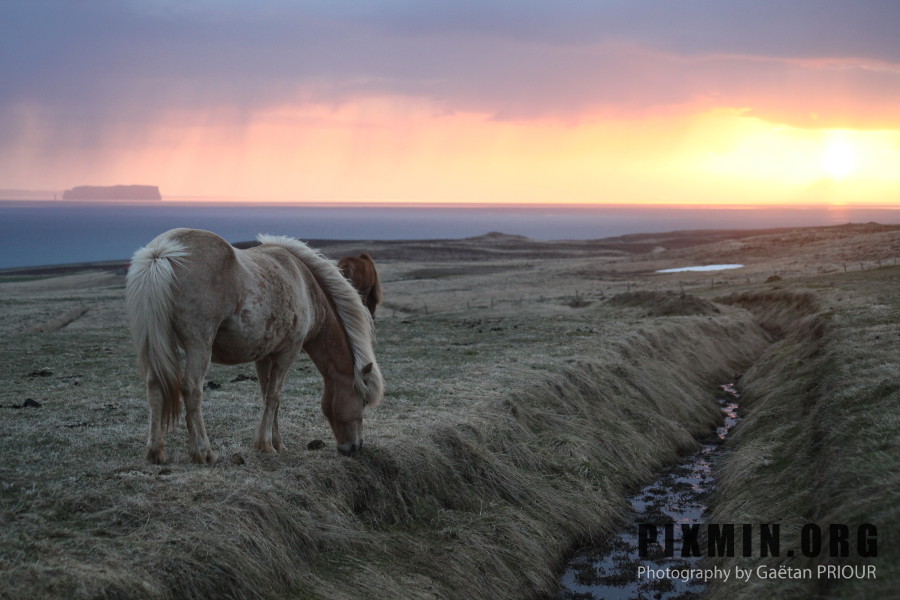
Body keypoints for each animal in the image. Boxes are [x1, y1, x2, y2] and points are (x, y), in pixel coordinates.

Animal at [124, 230, 384, 464]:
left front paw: (277, 442)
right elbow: (274, 395)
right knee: (192, 389)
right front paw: (266, 445)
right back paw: (204, 452)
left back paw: (156, 453)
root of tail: (161, 252)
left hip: (158, 344)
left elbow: (267, 394)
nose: (354, 447)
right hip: (199, 345)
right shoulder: (288, 351)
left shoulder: (265, 355)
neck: (305, 284)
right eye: (362, 401)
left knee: (155, 386)